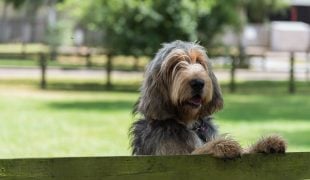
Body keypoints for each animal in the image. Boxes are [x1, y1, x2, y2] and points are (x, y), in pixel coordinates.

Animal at [128, 40, 286, 158]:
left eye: (199, 61)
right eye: (175, 64)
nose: (198, 82)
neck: (189, 123)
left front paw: (266, 143)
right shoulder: (172, 155)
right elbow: (198, 151)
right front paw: (221, 145)